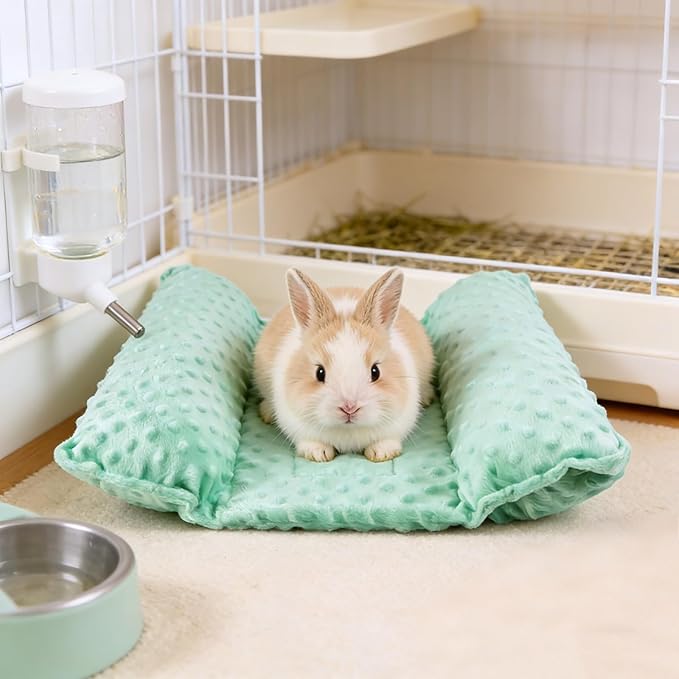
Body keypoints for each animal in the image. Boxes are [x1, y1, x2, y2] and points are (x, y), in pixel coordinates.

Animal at [253, 267, 435, 462]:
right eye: (320, 373)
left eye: (375, 371)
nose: (349, 407)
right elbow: (309, 442)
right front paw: (318, 453)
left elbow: (387, 440)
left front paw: (382, 453)